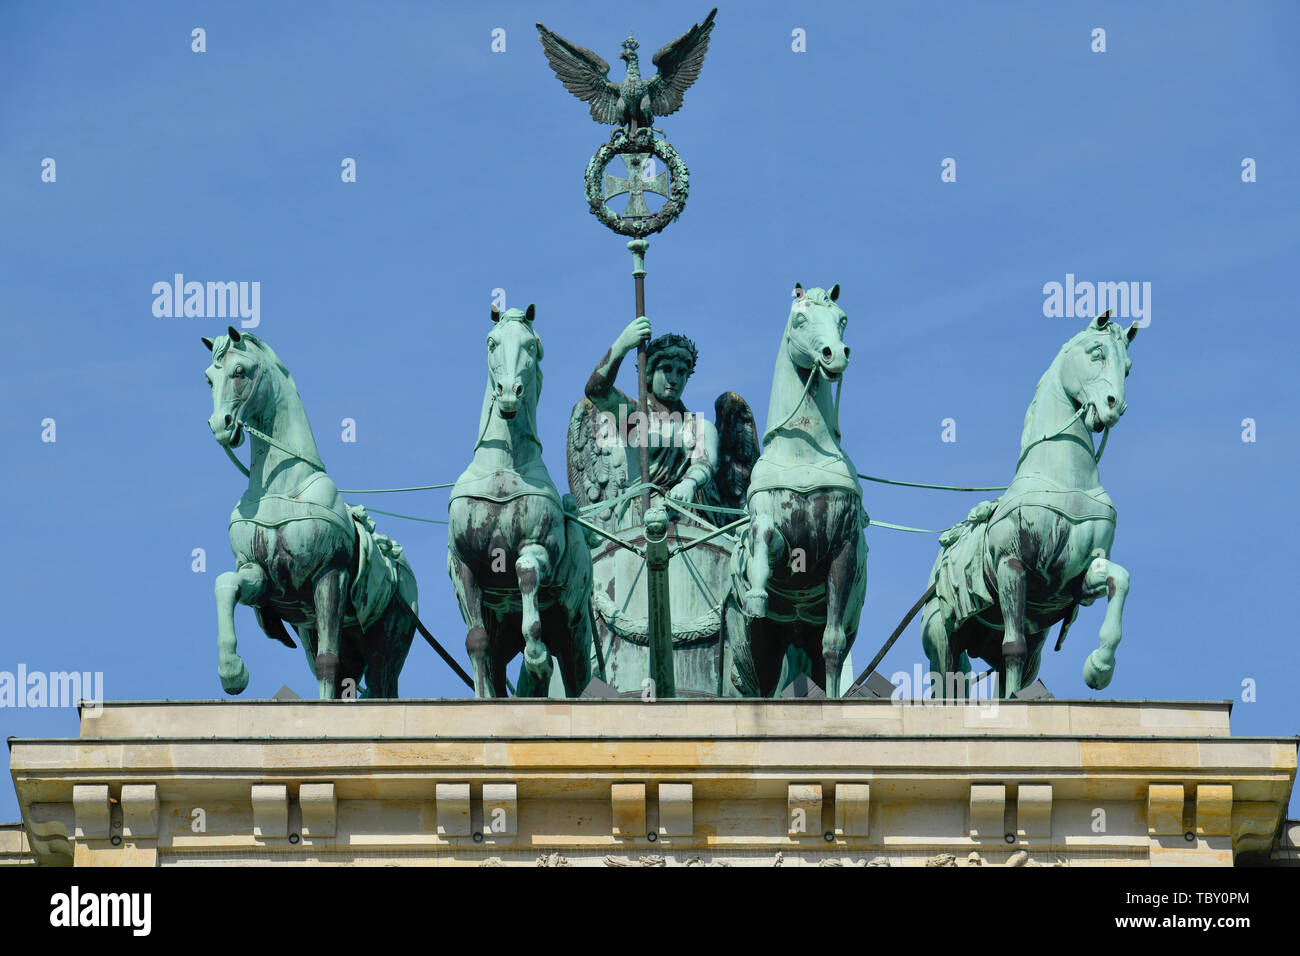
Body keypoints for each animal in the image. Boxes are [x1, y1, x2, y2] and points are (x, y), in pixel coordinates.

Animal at [444, 304, 592, 697]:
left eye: (531, 345)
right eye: (492, 342)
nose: (509, 392)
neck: (503, 467)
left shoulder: (540, 546)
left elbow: (526, 572)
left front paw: (537, 658)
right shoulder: (465, 565)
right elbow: (476, 640)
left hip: (574, 629)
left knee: (577, 673)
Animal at [733, 282, 863, 697]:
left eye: (843, 319)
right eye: (801, 319)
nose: (835, 354)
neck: (803, 452)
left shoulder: (843, 547)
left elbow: (832, 645)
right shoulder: (781, 537)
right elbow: (761, 532)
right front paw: (756, 589)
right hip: (764, 640)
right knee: (764, 679)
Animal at [925, 314, 1138, 697]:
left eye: (1127, 367)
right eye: (1096, 352)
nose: (1114, 406)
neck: (1064, 480)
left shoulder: (1080, 576)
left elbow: (1121, 579)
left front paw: (1100, 666)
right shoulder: (1011, 565)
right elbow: (1014, 646)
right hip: (941, 637)